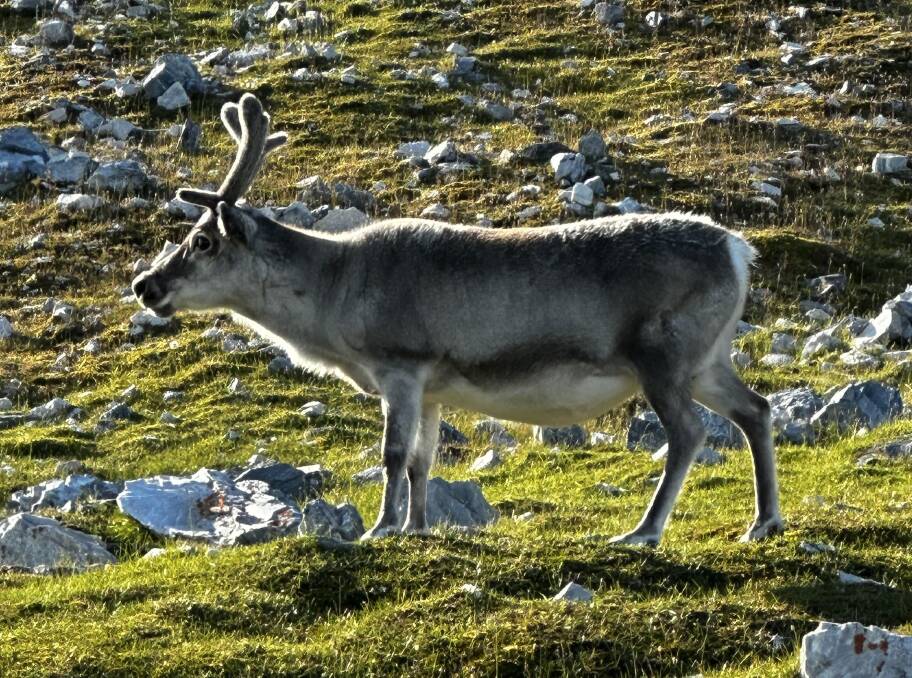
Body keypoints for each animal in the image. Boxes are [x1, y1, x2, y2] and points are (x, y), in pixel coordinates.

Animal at [132, 93, 784, 545]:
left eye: (202, 241)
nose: (145, 286)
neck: (333, 293)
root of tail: (739, 250)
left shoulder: (400, 365)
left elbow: (393, 455)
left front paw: (380, 528)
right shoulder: (433, 386)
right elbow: (424, 461)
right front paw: (417, 528)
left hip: (661, 356)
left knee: (690, 432)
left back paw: (645, 530)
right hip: (707, 360)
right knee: (757, 408)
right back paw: (764, 521)